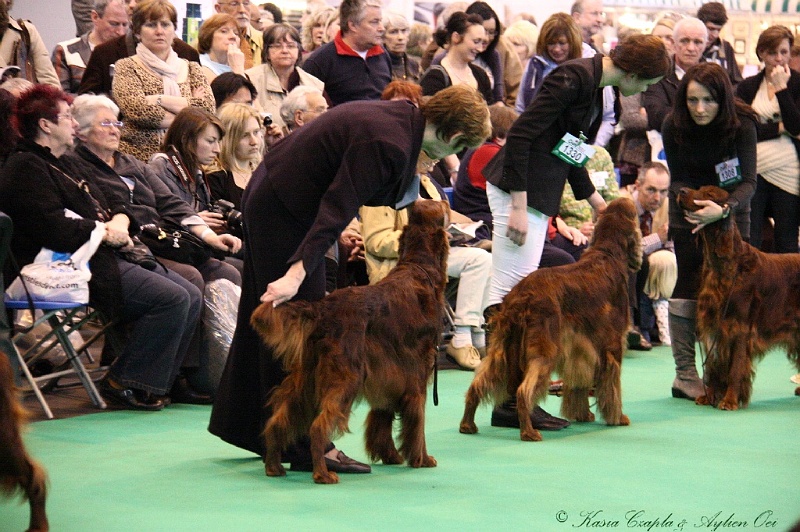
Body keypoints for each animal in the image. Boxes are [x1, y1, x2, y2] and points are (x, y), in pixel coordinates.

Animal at [252, 198, 450, 482]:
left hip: (308, 377)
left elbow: (383, 416)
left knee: (280, 418)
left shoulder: (388, 375)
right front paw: (422, 459)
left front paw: (390, 455)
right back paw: (323, 474)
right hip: (347, 375)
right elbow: (417, 422)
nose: (445, 199)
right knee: (317, 426)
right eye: (439, 206)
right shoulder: (417, 374)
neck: (418, 268)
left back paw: (274, 467)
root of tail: (322, 309)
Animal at [460, 197, 640, 442]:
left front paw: (583, 415)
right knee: (523, 391)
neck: (607, 253)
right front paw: (618, 418)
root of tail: (521, 296)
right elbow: (613, 388)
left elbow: (579, 383)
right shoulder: (612, 346)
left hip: (501, 350)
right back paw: (529, 431)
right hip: (545, 351)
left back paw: (467, 425)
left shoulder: (579, 349)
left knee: (476, 385)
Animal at [680, 185, 800, 410]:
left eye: (709, 194)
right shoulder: (712, 324)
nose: (681, 190)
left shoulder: (739, 327)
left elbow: (735, 368)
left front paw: (729, 400)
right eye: (698, 188)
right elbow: (712, 366)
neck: (726, 264)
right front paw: (709, 396)